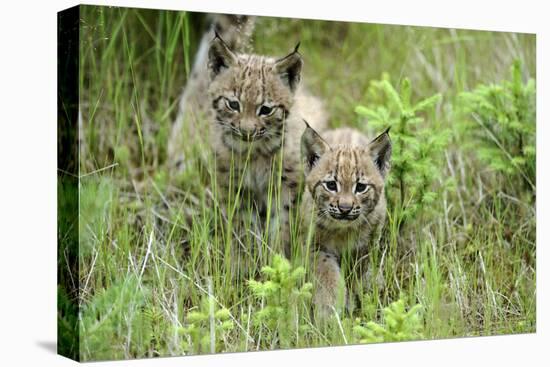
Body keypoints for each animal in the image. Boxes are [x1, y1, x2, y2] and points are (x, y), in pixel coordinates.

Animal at [302, 124, 392, 316]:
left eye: (361, 187)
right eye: (330, 185)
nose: (345, 209)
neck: (342, 229)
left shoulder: (369, 245)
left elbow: (363, 270)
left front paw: (368, 296)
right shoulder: (314, 245)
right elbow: (326, 271)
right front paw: (329, 308)